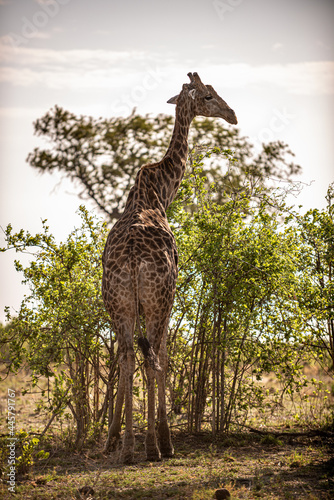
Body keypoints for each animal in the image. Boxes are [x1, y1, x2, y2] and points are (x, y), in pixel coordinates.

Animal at [102, 72, 237, 462]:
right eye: (208, 95)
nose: (232, 115)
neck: (161, 192)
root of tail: (134, 260)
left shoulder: (126, 306)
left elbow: (128, 357)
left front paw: (112, 437)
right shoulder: (170, 297)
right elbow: (163, 353)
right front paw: (163, 437)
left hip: (118, 302)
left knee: (128, 356)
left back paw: (127, 448)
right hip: (158, 299)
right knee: (152, 357)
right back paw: (154, 446)